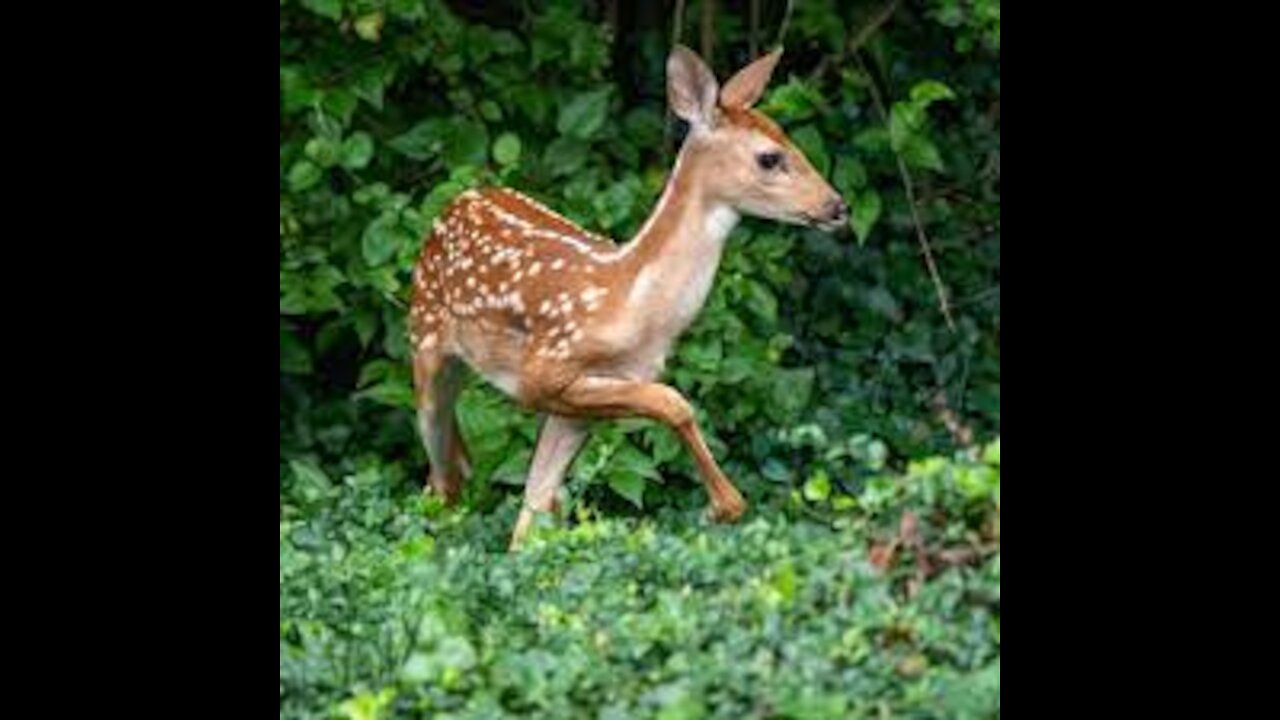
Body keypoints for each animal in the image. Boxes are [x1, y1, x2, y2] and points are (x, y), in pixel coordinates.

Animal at [409, 46, 849, 548]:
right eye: (770, 158)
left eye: (788, 137)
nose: (837, 206)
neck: (632, 303)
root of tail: (455, 201)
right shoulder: (541, 373)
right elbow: (675, 402)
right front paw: (723, 505)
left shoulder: (581, 403)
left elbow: (534, 512)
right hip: (425, 342)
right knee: (442, 476)